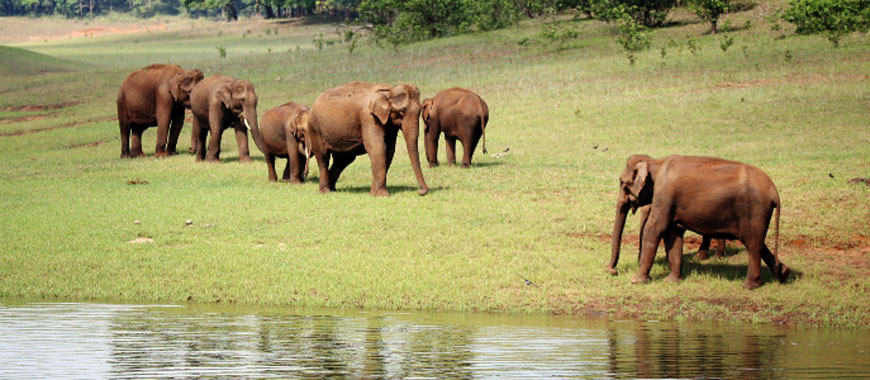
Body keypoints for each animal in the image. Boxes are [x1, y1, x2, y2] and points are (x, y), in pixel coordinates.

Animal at [608, 154, 792, 288]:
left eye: (622, 182)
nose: (613, 271)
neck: (656, 162)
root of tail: (774, 191)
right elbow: (672, 233)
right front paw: (672, 281)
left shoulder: (664, 195)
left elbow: (654, 229)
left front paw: (636, 281)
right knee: (758, 243)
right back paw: (783, 273)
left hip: (755, 210)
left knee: (753, 245)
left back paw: (749, 286)